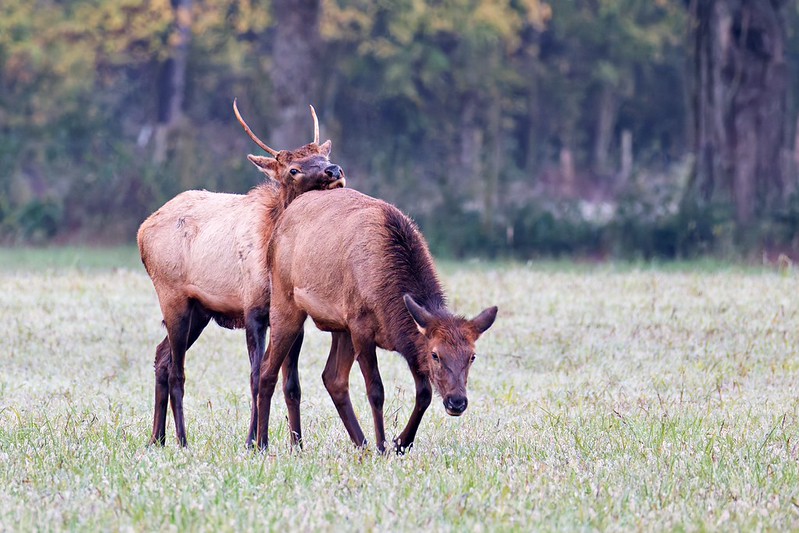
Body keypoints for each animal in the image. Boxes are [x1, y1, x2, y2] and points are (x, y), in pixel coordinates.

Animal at [137, 100, 345, 447]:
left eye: (325, 157)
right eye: (293, 169)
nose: (335, 171)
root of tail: (141, 231)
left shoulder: (293, 315)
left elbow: (292, 385)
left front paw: (297, 444)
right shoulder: (254, 311)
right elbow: (256, 377)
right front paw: (253, 442)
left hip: (200, 311)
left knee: (161, 357)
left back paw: (157, 438)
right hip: (172, 297)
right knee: (176, 369)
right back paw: (181, 439)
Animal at [256, 188, 498, 454]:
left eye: (472, 356)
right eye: (436, 355)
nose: (457, 402)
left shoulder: (405, 339)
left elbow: (424, 393)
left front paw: (402, 442)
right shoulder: (361, 328)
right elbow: (376, 391)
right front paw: (383, 446)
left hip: (341, 326)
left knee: (333, 378)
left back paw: (357, 444)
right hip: (285, 301)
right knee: (267, 370)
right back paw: (262, 443)